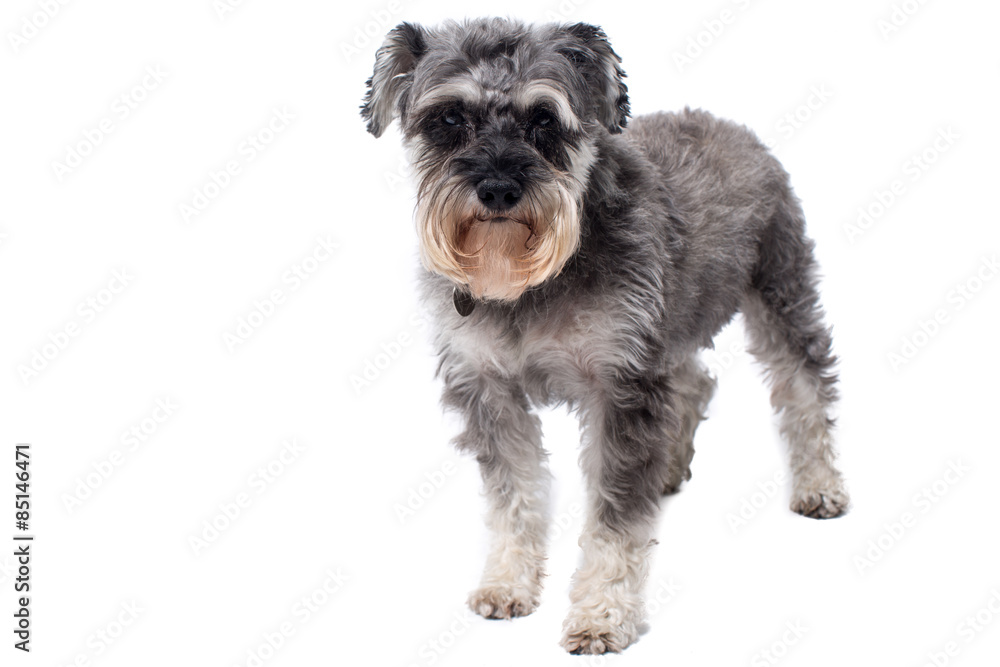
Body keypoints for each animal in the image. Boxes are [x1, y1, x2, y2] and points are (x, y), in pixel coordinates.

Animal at [364, 18, 848, 656]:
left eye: (545, 119)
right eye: (448, 118)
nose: (497, 188)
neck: (530, 281)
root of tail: (727, 123)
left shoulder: (621, 385)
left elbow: (616, 521)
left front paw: (602, 615)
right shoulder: (488, 387)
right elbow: (515, 492)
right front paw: (507, 582)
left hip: (780, 292)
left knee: (804, 386)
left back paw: (819, 485)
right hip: (669, 330)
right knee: (696, 380)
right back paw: (669, 466)